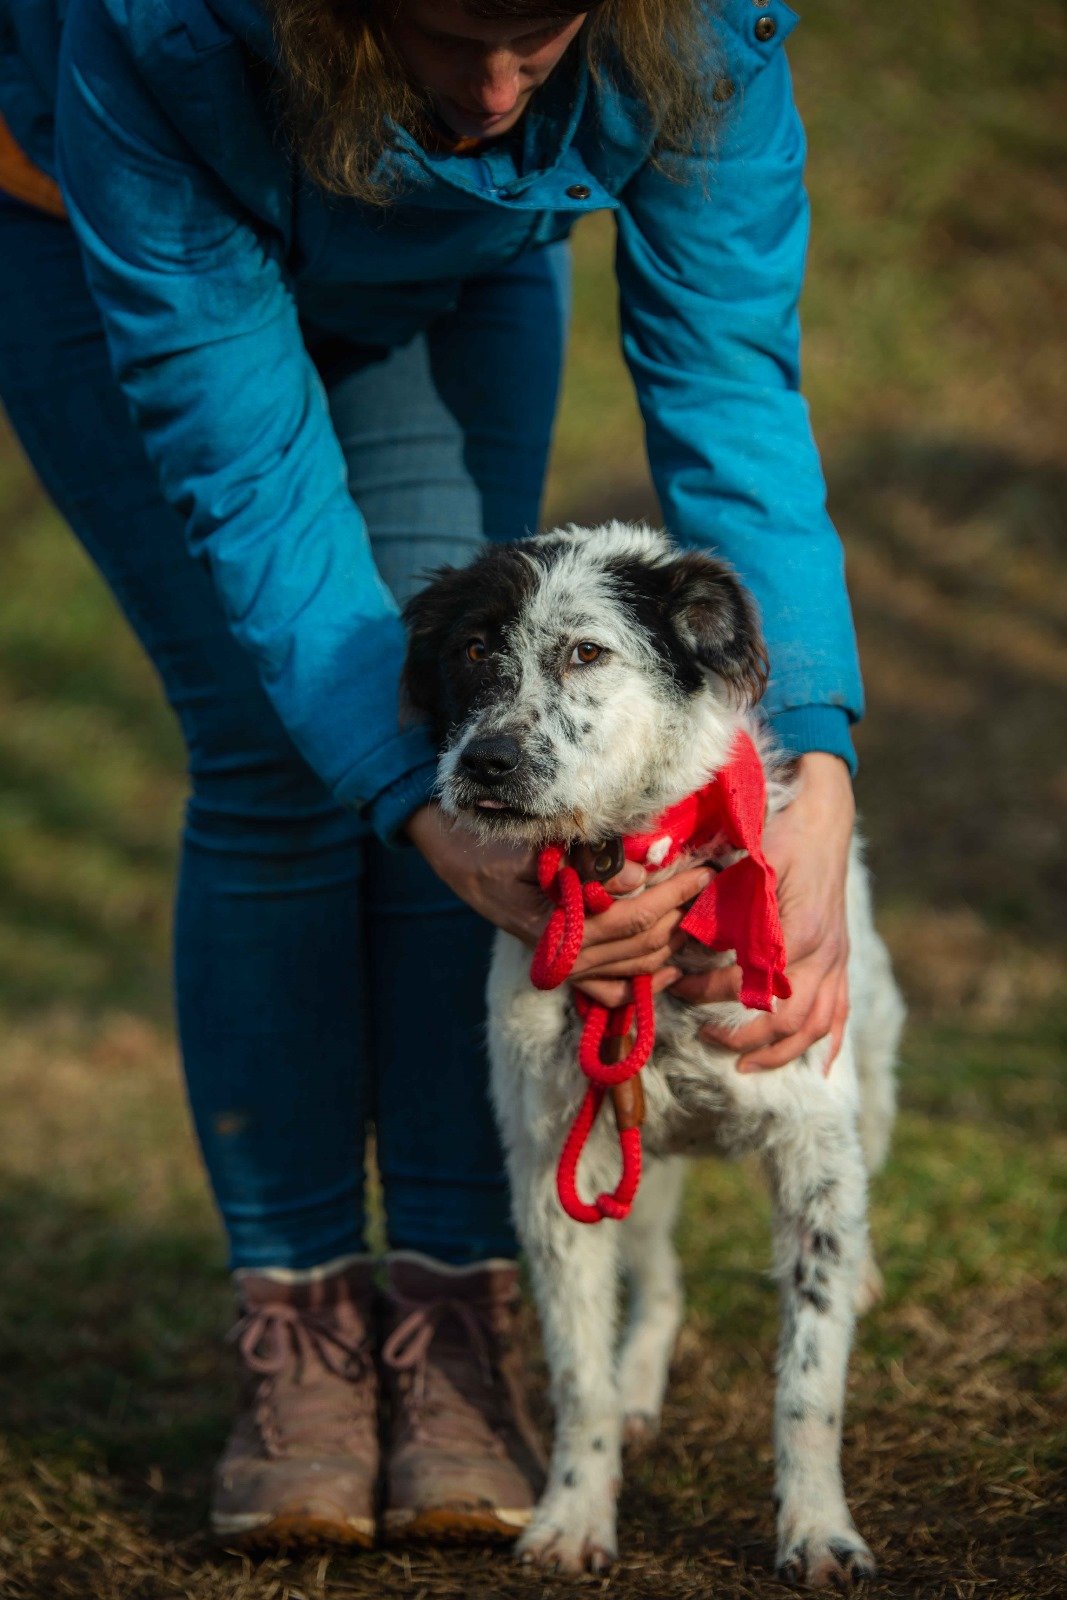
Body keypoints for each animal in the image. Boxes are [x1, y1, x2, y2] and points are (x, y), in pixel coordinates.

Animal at [402, 522, 904, 1584]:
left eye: (587, 652)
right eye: (471, 648)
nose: (486, 762)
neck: (628, 862)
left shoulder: (813, 1155)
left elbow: (808, 1383)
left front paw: (817, 1529)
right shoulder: (560, 1168)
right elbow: (578, 1380)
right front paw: (572, 1517)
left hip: (868, 1086)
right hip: (632, 1159)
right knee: (661, 1287)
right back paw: (640, 1388)